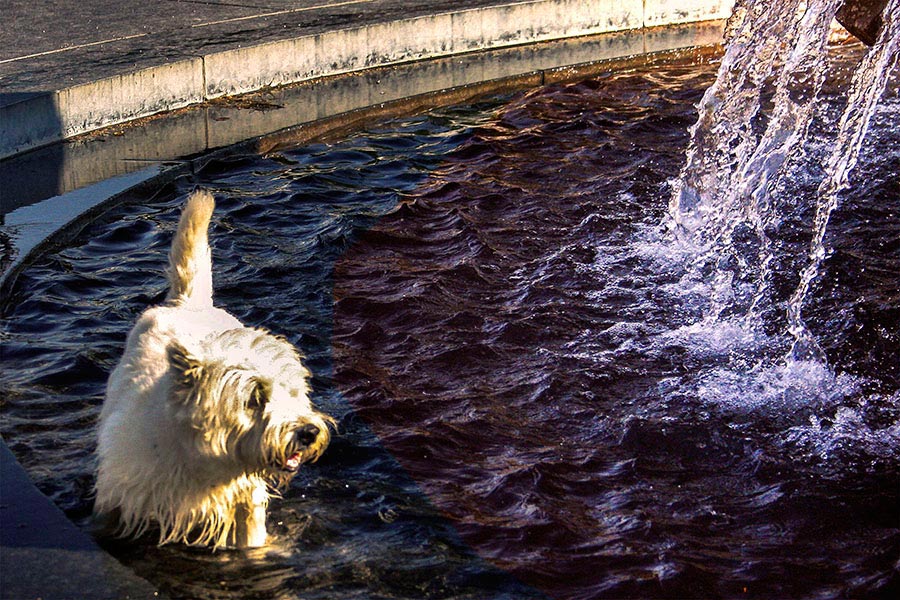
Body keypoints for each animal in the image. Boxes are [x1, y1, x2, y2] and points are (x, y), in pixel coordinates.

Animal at [95, 191, 334, 548]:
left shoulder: (244, 502)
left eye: (294, 392)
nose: (309, 432)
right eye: (254, 399)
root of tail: (187, 304)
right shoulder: (121, 499)